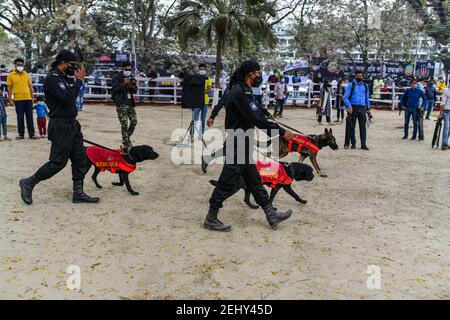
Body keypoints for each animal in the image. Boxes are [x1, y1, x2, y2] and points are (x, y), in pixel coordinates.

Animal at [19, 50, 99, 205]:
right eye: (73, 63)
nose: (80, 68)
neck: (61, 74)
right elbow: (67, 96)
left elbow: (79, 163)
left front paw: (80, 195)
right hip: (62, 141)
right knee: (57, 162)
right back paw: (26, 188)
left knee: (79, 160)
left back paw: (80, 196)